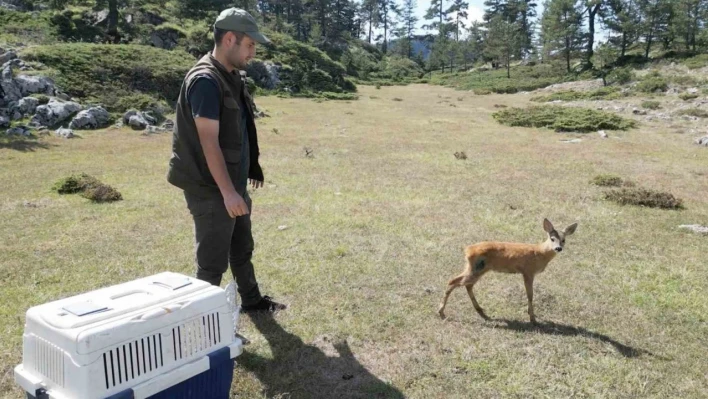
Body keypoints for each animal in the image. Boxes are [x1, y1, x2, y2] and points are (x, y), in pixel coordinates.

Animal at [440, 219, 580, 324]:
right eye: (552, 238)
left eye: (564, 240)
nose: (558, 248)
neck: (540, 253)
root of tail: (467, 250)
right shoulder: (528, 271)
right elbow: (530, 295)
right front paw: (532, 319)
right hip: (477, 268)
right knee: (453, 281)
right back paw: (441, 312)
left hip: (477, 268)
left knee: (466, 284)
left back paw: (481, 312)